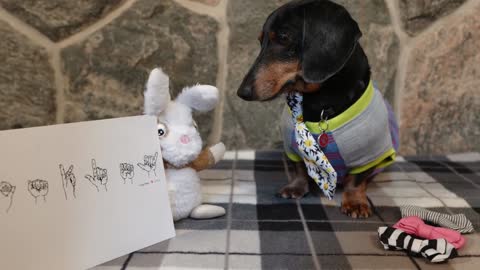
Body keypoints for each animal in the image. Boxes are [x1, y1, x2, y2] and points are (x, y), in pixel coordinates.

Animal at [236, 0, 398, 218]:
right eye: (260, 41)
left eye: (283, 38)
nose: (242, 92)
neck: (320, 103)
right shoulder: (293, 147)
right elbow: (299, 167)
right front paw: (296, 187)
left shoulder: (370, 151)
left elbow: (357, 179)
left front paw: (355, 201)